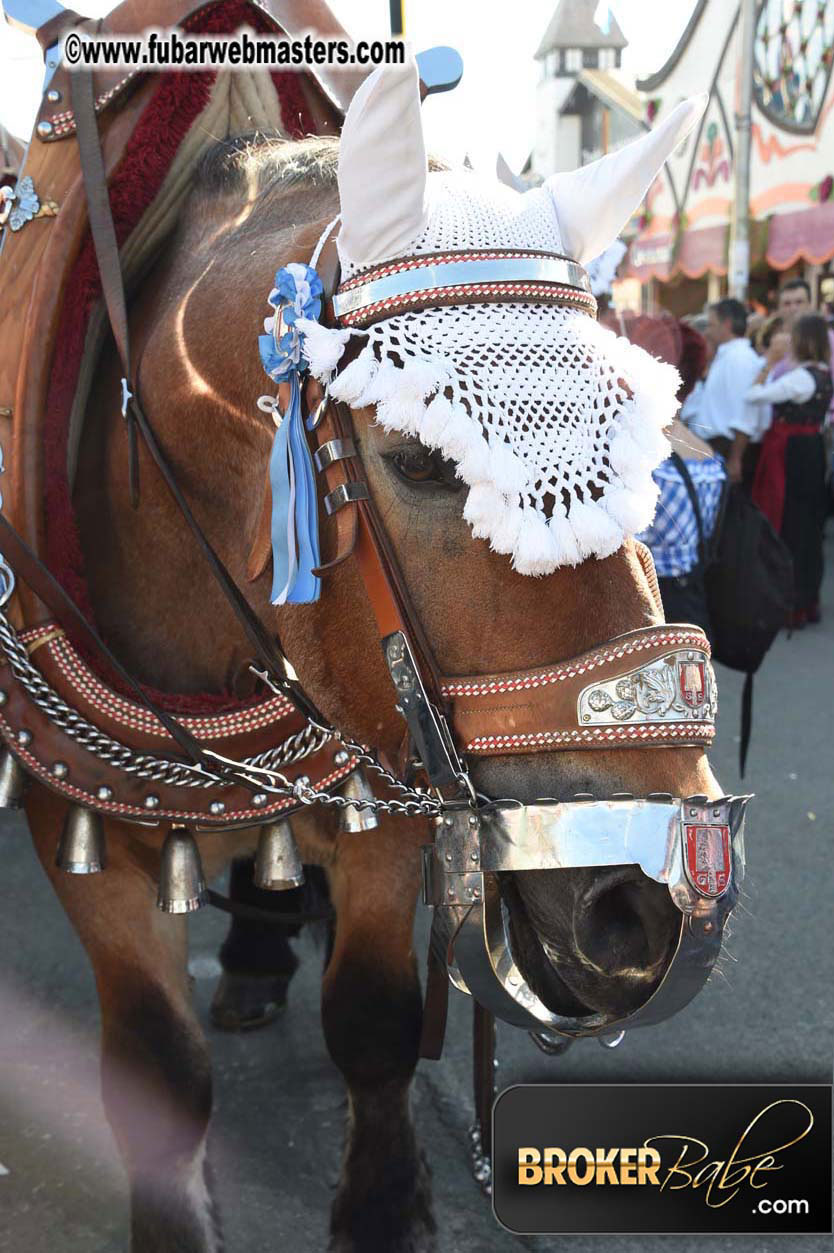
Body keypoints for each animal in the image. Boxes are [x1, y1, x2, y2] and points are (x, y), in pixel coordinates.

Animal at [21, 137, 721, 1253]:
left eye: (648, 442)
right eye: (425, 458)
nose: (648, 900)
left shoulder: (387, 793)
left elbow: (373, 1019)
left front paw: (387, 1206)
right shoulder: (79, 832)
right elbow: (158, 1067)